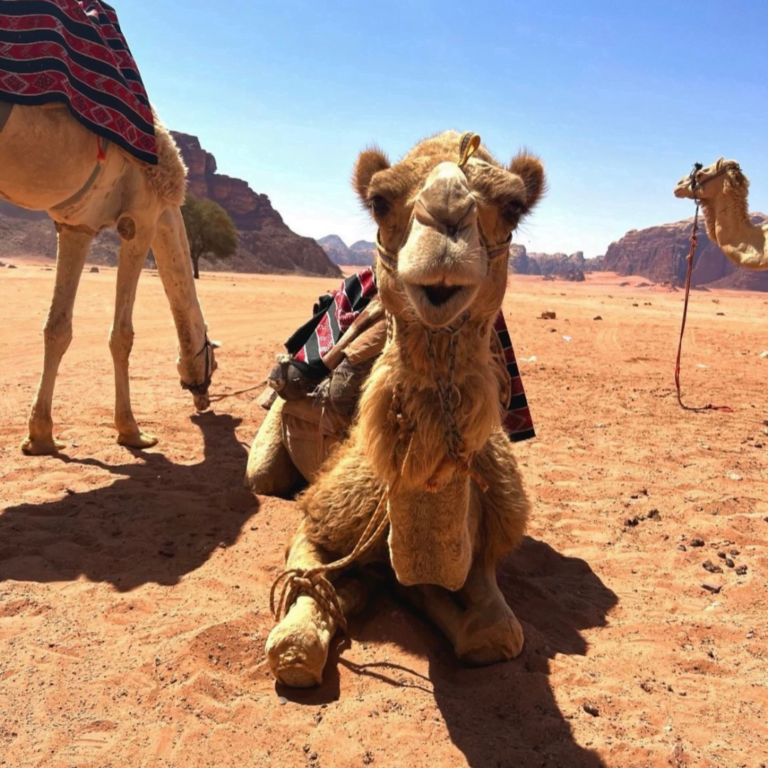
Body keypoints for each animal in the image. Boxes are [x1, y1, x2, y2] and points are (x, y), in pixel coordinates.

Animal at [0, 101, 218, 454]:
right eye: (211, 356)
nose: (204, 400)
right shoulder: (141, 221)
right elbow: (122, 336)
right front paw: (132, 431)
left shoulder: (77, 225)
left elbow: (57, 329)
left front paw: (40, 436)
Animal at [255, 130, 545, 687]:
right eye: (380, 200)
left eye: (513, 206)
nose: (447, 216)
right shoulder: (320, 519)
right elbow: (294, 644)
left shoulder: (483, 548)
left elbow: (497, 634)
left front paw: (398, 589)